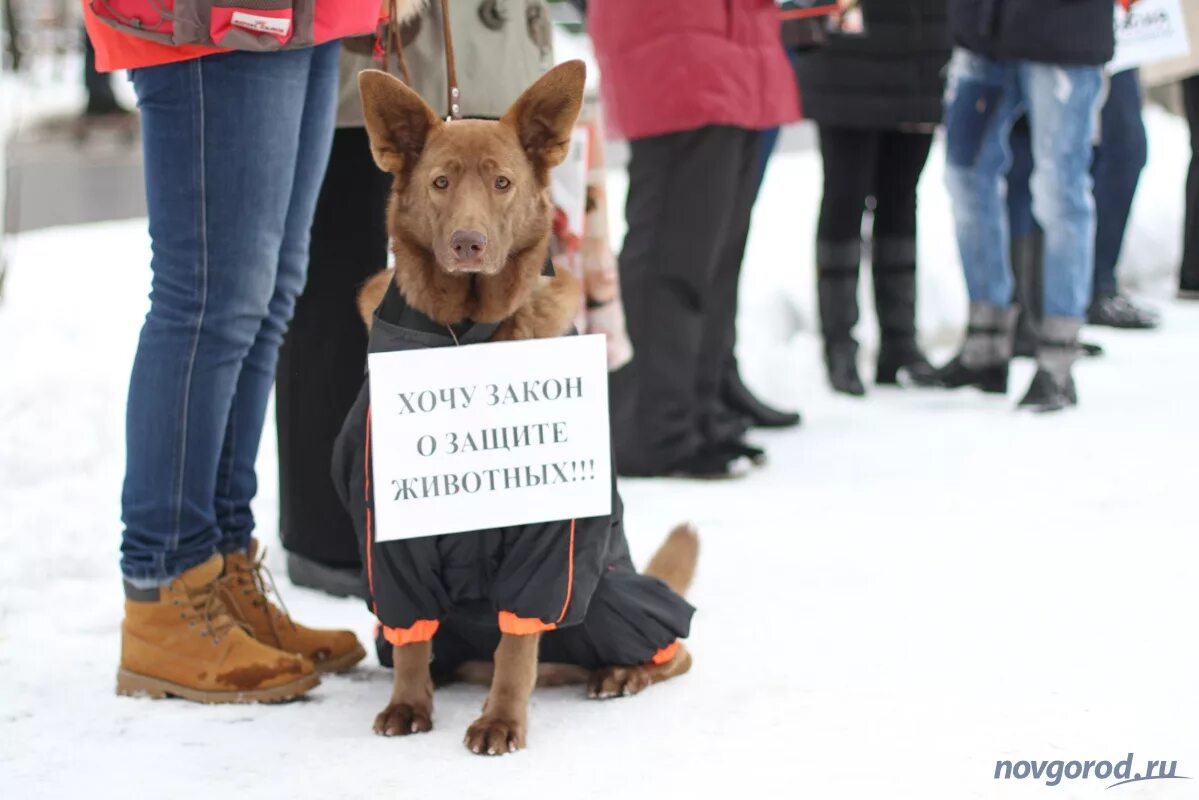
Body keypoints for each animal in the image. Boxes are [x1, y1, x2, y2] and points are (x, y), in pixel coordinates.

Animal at [352, 59, 695, 753]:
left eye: (503, 183)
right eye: (440, 182)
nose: (468, 243)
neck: (466, 333)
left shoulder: (549, 539)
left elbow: (518, 642)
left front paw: (501, 720)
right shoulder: (390, 534)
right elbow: (410, 638)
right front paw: (408, 706)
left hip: (613, 598)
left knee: (671, 649)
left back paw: (622, 673)